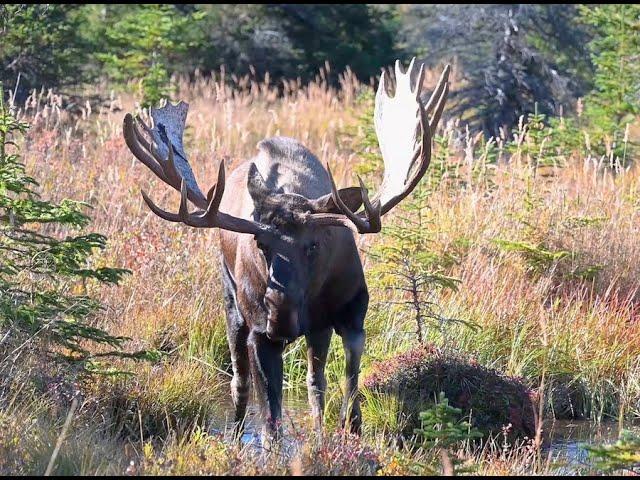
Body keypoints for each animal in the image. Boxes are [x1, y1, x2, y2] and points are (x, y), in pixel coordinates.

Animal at [121, 59, 450, 438]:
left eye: (314, 245)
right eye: (260, 243)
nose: (280, 311)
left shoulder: (350, 312)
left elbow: (345, 385)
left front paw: (343, 432)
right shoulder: (261, 334)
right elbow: (271, 413)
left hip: (315, 328)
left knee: (314, 382)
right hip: (232, 303)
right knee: (240, 381)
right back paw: (235, 436)